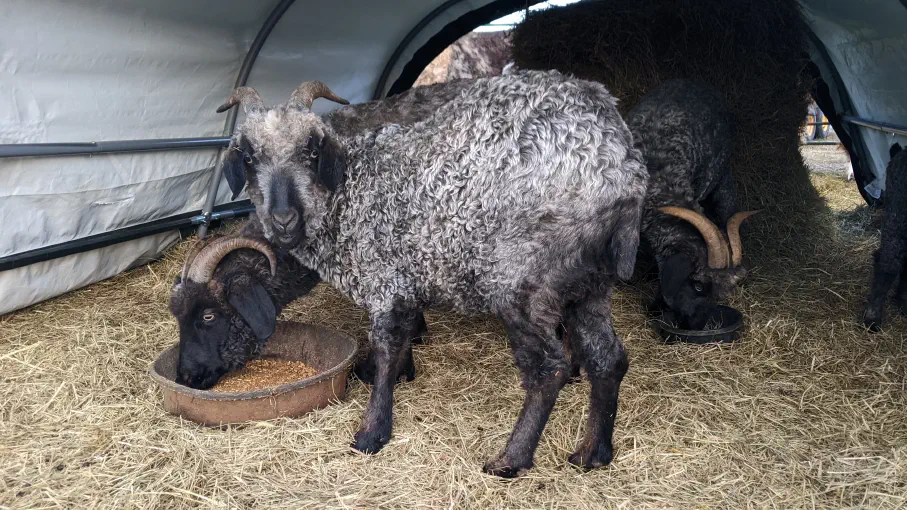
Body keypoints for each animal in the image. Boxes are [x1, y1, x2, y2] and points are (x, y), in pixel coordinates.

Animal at [214, 70, 648, 477]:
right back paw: (593, 453)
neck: (350, 192)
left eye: (311, 150)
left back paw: (511, 458)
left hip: (523, 279)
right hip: (588, 285)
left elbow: (386, 349)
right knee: (608, 358)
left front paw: (371, 432)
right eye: (249, 157)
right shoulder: (403, 282)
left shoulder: (383, 278)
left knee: (548, 367)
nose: (283, 219)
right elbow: (403, 338)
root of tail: (622, 165)